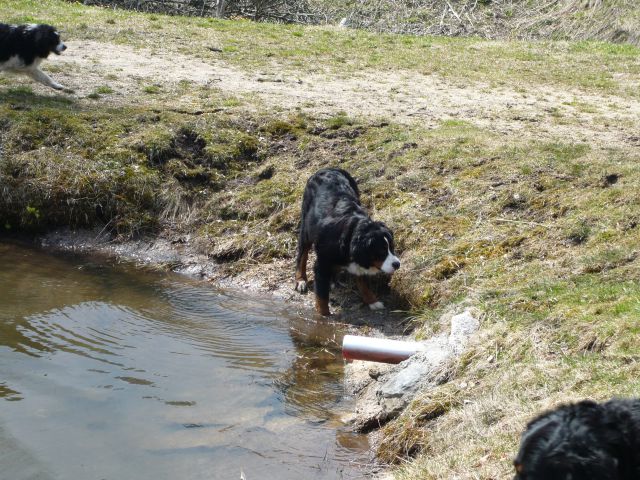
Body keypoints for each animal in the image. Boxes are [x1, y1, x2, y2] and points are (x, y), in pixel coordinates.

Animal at [296, 167, 400, 316]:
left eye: (391, 247)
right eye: (381, 251)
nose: (397, 264)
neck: (352, 233)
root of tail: (328, 168)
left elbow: (363, 282)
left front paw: (372, 301)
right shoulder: (322, 262)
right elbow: (322, 295)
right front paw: (323, 316)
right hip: (306, 229)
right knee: (302, 255)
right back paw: (301, 280)